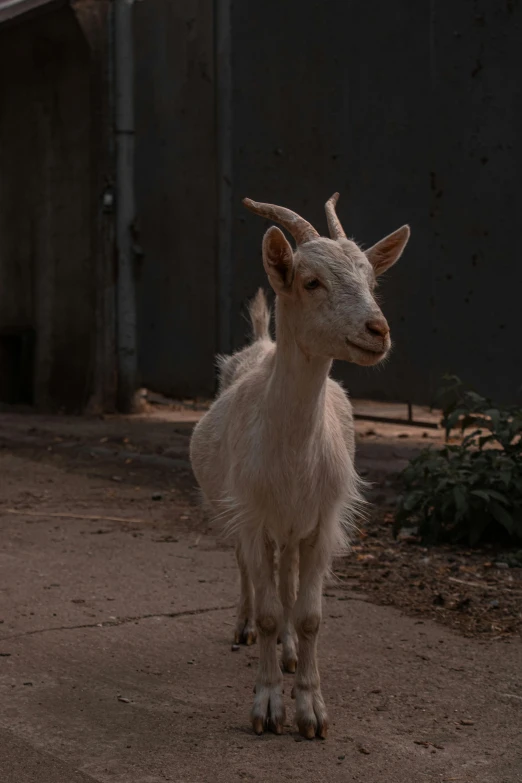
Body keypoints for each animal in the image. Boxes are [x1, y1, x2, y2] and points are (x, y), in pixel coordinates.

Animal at [189, 193, 408, 740]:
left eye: (371, 280)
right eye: (311, 281)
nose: (378, 330)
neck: (292, 452)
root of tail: (260, 343)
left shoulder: (322, 522)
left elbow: (308, 614)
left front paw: (310, 708)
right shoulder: (251, 515)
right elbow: (269, 609)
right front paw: (267, 705)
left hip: (292, 527)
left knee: (285, 577)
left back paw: (288, 654)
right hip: (239, 514)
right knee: (248, 571)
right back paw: (244, 628)